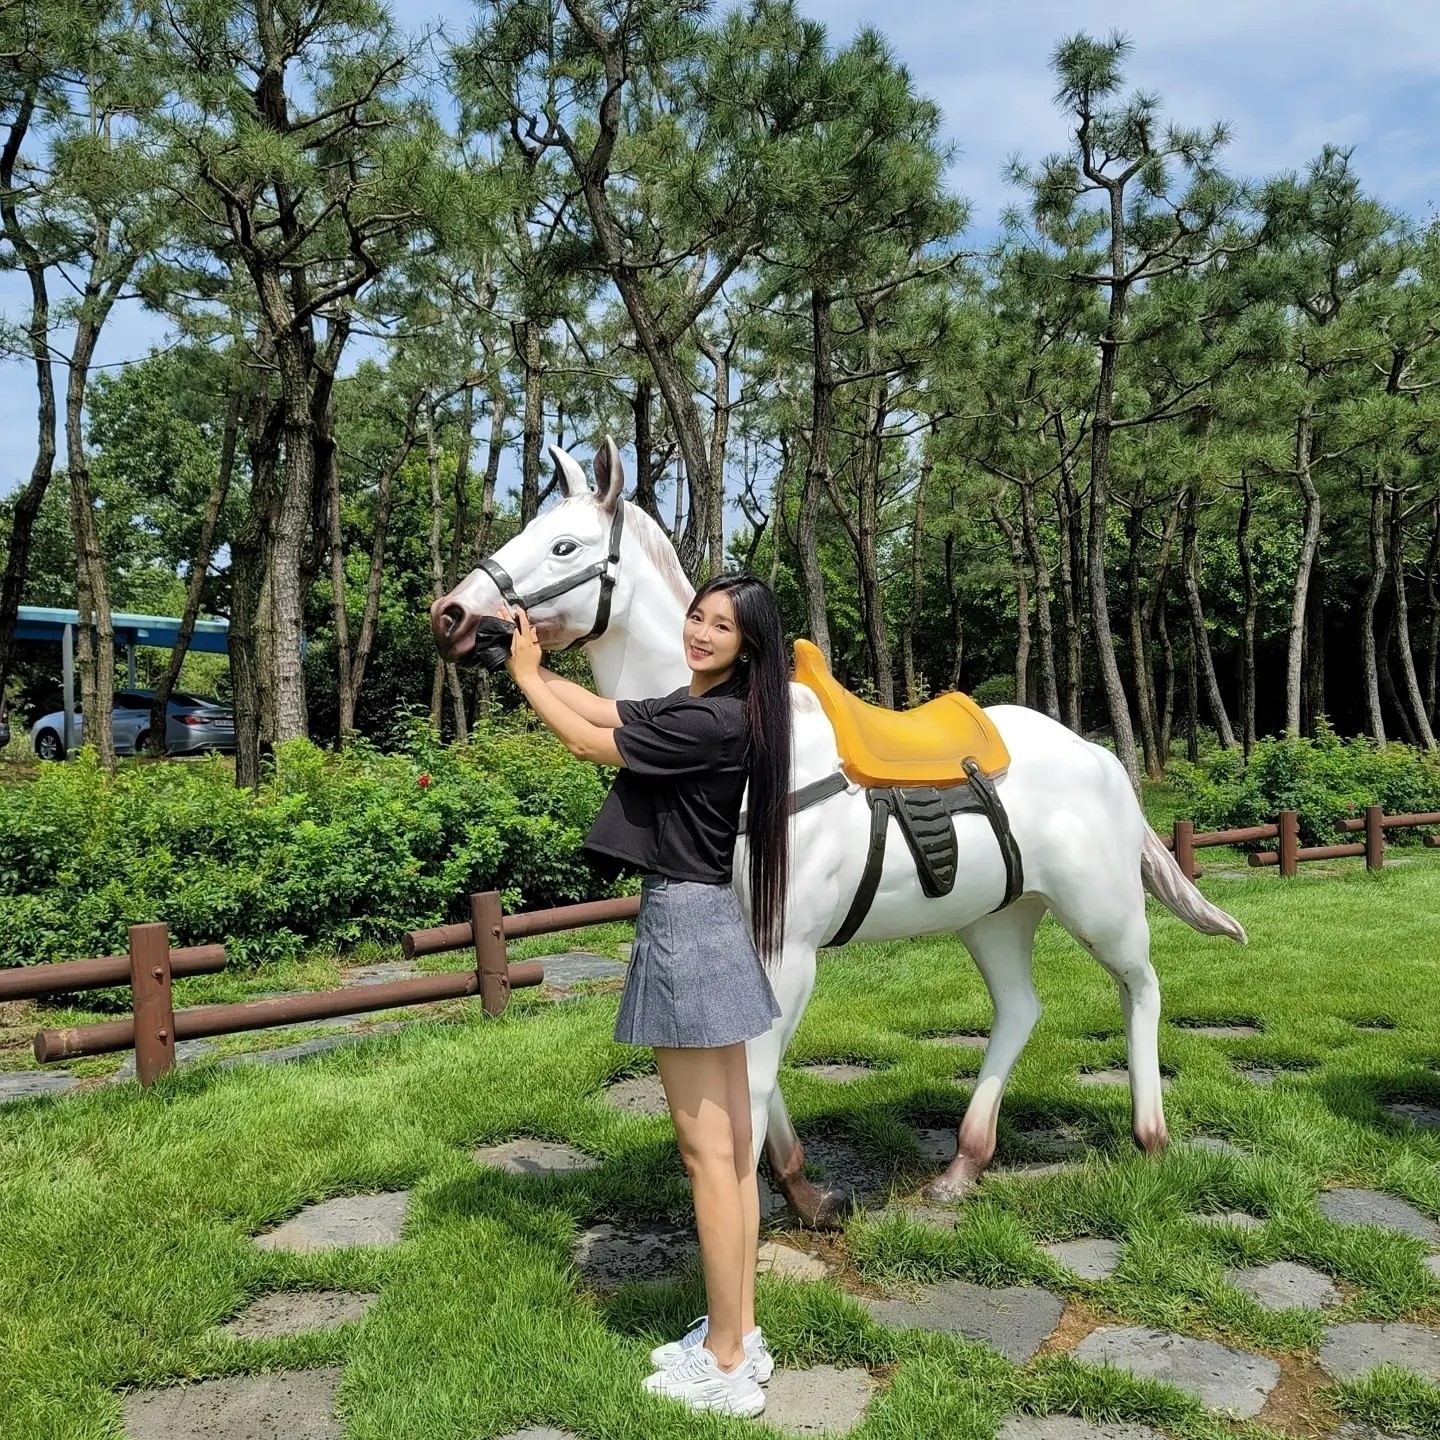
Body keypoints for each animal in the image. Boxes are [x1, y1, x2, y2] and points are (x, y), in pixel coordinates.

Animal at [431, 437, 1247, 1224]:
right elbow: (754, 1078)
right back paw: (963, 1165)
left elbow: (754, 1086)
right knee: (1021, 1008)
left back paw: (1150, 1137)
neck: (759, 755)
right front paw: (806, 1195)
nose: (452, 615)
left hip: (1101, 909)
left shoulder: (788, 949)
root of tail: (1099, 756)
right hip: (997, 913)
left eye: (563, 545)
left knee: (1142, 987)